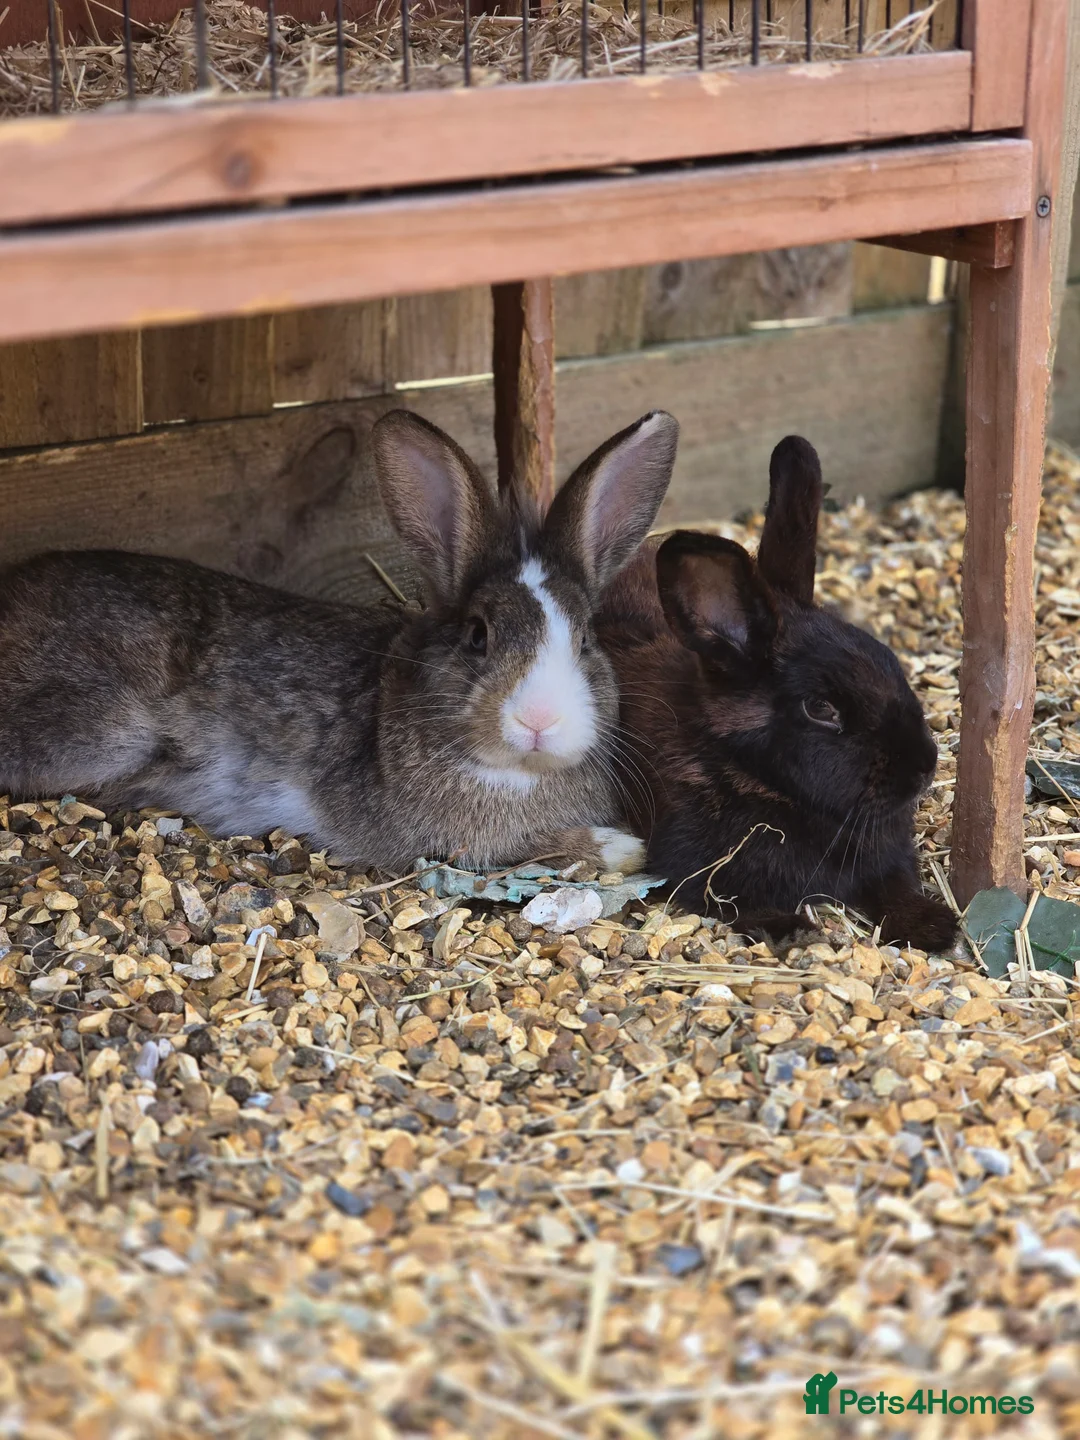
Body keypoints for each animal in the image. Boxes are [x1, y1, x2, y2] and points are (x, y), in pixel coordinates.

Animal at [0, 408, 680, 875]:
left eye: (586, 638)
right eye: (478, 635)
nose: (540, 719)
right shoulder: (452, 843)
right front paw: (622, 848)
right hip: (102, 734)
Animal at [597, 434, 958, 952]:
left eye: (890, 660)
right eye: (821, 708)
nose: (924, 767)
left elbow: (897, 888)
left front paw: (933, 926)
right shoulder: (696, 867)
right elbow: (735, 903)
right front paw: (792, 929)